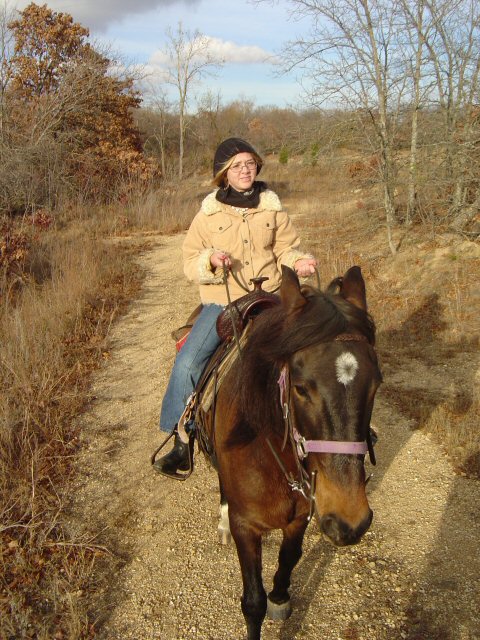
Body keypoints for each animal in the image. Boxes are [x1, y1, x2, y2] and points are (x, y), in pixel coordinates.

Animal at [197, 262, 380, 636]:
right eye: (300, 388)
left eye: (375, 384)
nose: (350, 520)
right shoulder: (246, 526)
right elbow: (253, 603)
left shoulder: (301, 515)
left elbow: (290, 557)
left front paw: (280, 597)